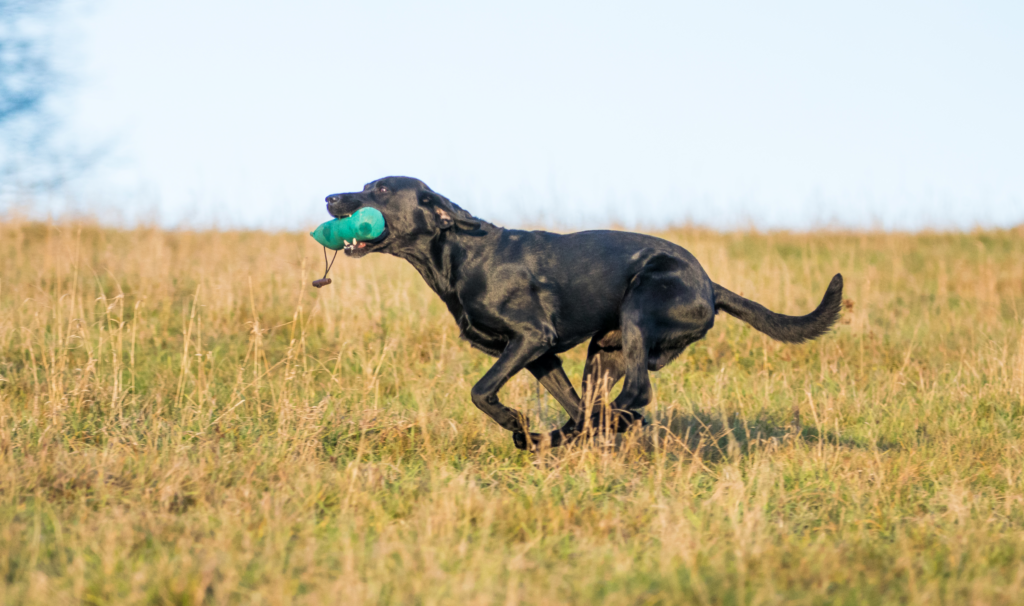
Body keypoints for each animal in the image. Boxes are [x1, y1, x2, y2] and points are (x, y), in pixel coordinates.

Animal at [325, 176, 843, 449]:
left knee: (637, 391)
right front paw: (541, 435)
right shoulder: (541, 355)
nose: (331, 197)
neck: (459, 255)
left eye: (381, 188)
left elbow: (481, 391)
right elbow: (572, 404)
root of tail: (709, 284)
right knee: (598, 404)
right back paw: (588, 430)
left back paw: (610, 421)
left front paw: (516, 423)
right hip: (604, 349)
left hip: (638, 308)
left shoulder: (531, 338)